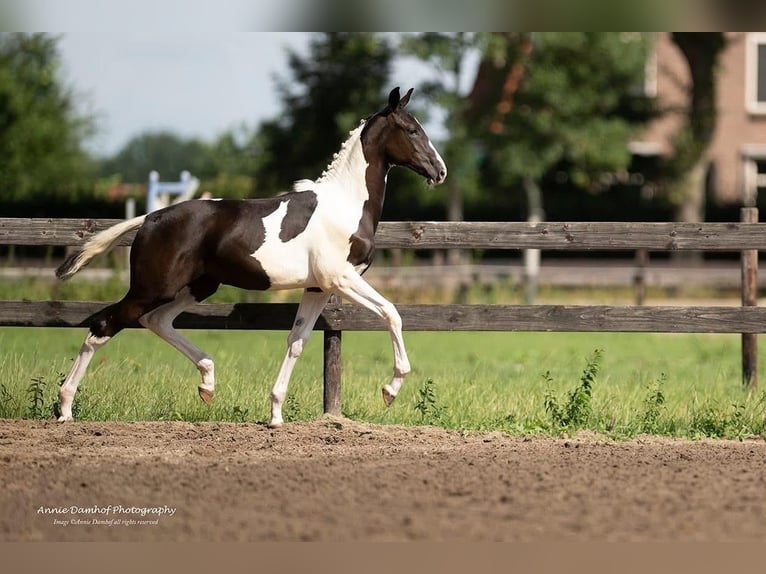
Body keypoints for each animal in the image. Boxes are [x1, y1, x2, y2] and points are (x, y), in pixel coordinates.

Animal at [54, 87, 447, 428]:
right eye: (412, 129)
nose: (439, 171)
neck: (345, 206)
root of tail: (151, 218)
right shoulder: (341, 278)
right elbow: (392, 314)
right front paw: (390, 390)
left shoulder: (318, 288)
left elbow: (297, 341)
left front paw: (275, 414)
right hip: (152, 288)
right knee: (103, 326)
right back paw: (65, 407)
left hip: (198, 287)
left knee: (157, 321)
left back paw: (207, 383)